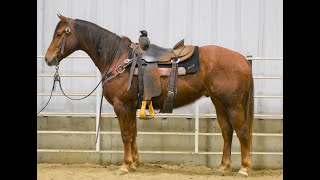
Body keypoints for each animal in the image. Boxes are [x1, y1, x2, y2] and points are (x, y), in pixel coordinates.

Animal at [44, 14, 255, 177]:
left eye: (60, 34)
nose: (48, 59)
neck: (118, 58)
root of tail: (242, 60)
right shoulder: (130, 106)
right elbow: (133, 133)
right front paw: (134, 163)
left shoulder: (122, 106)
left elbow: (125, 134)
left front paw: (124, 166)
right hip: (220, 103)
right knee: (227, 131)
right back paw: (223, 167)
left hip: (233, 104)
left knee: (242, 131)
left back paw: (244, 168)